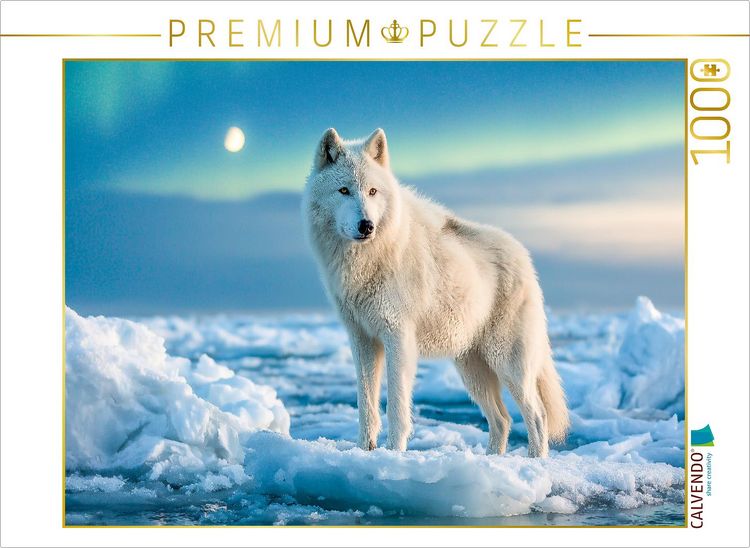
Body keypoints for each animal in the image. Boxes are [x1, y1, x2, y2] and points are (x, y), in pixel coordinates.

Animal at [302, 128, 569, 457]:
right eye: (343, 190)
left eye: (373, 192)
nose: (367, 226)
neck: (368, 260)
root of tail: (525, 258)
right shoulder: (362, 340)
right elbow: (367, 408)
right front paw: (364, 452)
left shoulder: (398, 337)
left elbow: (397, 408)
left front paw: (394, 454)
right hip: (472, 370)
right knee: (503, 419)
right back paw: (492, 460)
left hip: (508, 363)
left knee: (537, 415)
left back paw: (533, 462)